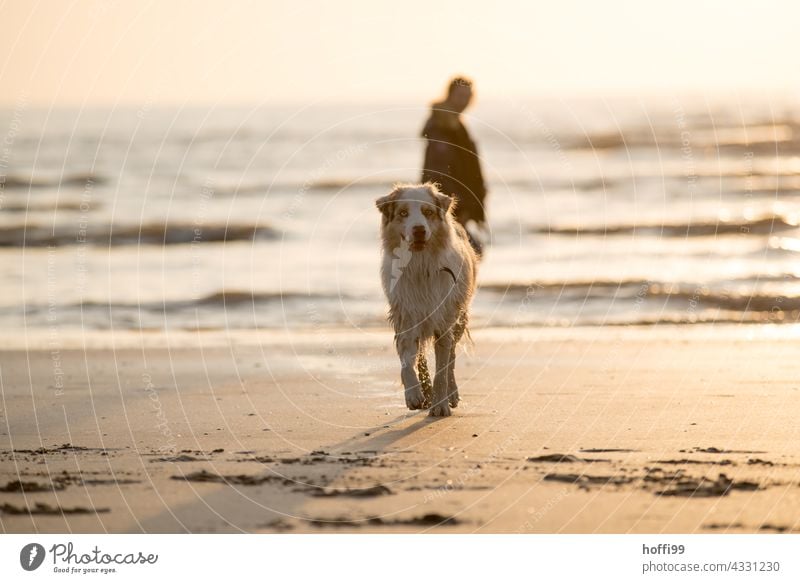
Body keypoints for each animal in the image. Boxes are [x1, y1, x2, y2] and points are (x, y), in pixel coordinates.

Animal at [378, 182, 478, 416]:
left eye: (428, 212)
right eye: (403, 213)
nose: (419, 230)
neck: (419, 266)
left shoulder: (444, 319)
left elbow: (442, 368)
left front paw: (440, 405)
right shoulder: (405, 316)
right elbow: (407, 362)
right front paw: (414, 394)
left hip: (459, 317)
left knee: (451, 357)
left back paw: (450, 394)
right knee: (422, 356)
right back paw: (425, 392)